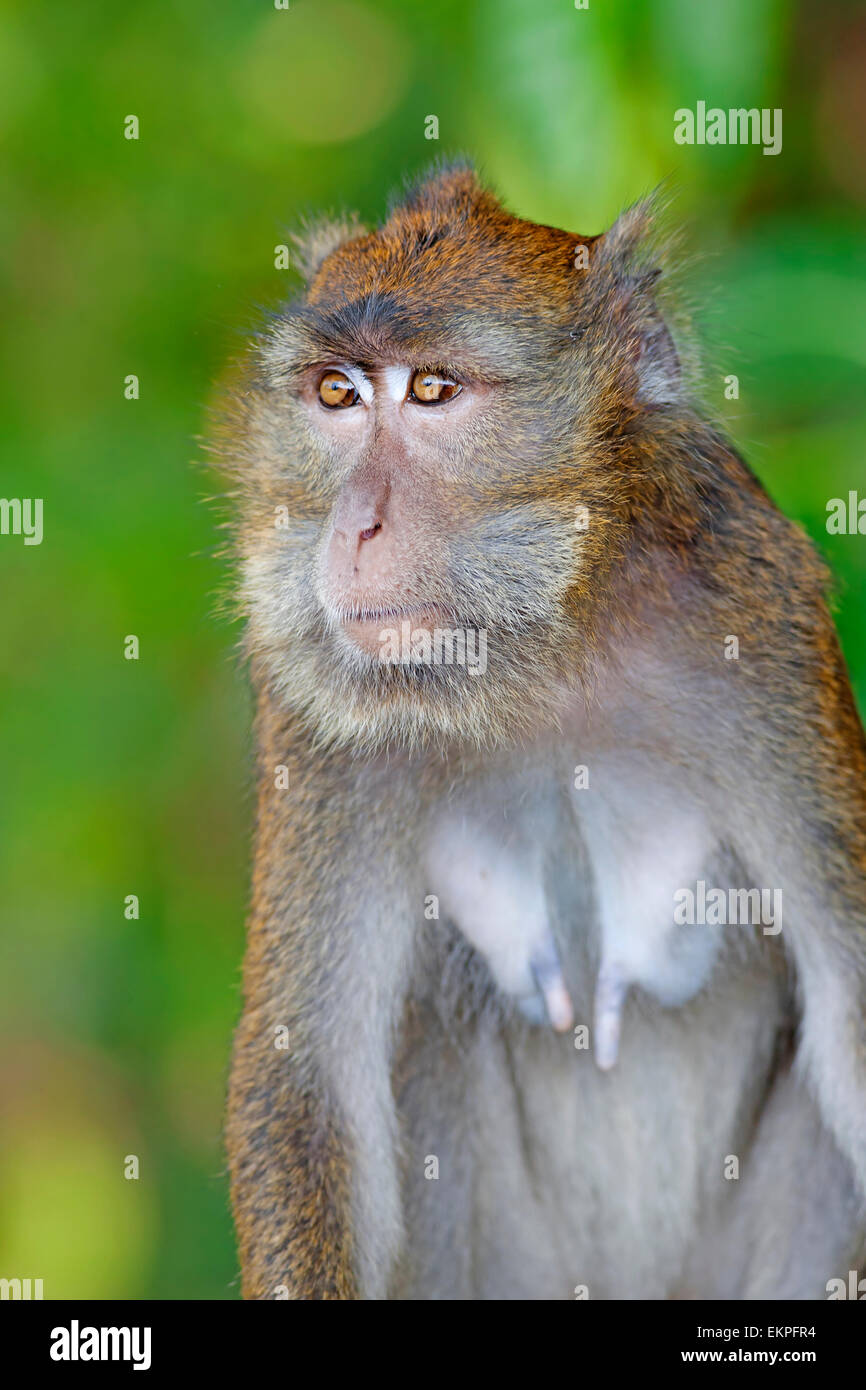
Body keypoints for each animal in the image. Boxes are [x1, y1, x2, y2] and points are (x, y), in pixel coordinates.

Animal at [216, 162, 866, 1300]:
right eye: (336, 394)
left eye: (433, 390)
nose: (353, 528)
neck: (544, 648)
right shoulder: (313, 714)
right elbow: (310, 1080)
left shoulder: (762, 623)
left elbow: (854, 1010)